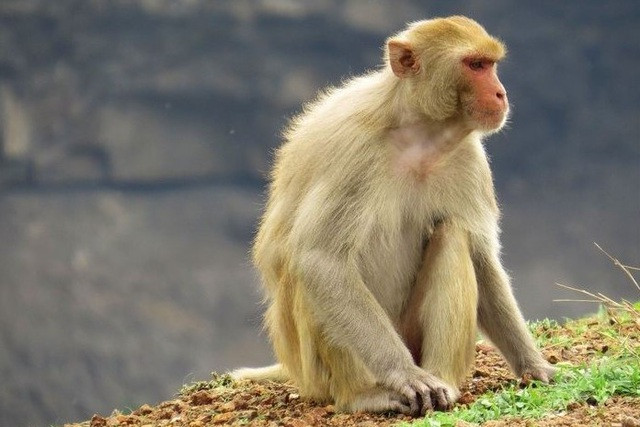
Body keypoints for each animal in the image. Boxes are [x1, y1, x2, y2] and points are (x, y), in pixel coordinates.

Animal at [232, 16, 556, 416]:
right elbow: (320, 259)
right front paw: (405, 375)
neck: (419, 131)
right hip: (315, 372)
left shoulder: (469, 159)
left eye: (491, 65)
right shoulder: (353, 150)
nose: (500, 94)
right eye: (476, 65)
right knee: (306, 270)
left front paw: (532, 364)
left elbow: (481, 260)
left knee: (452, 234)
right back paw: (364, 394)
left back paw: (444, 380)